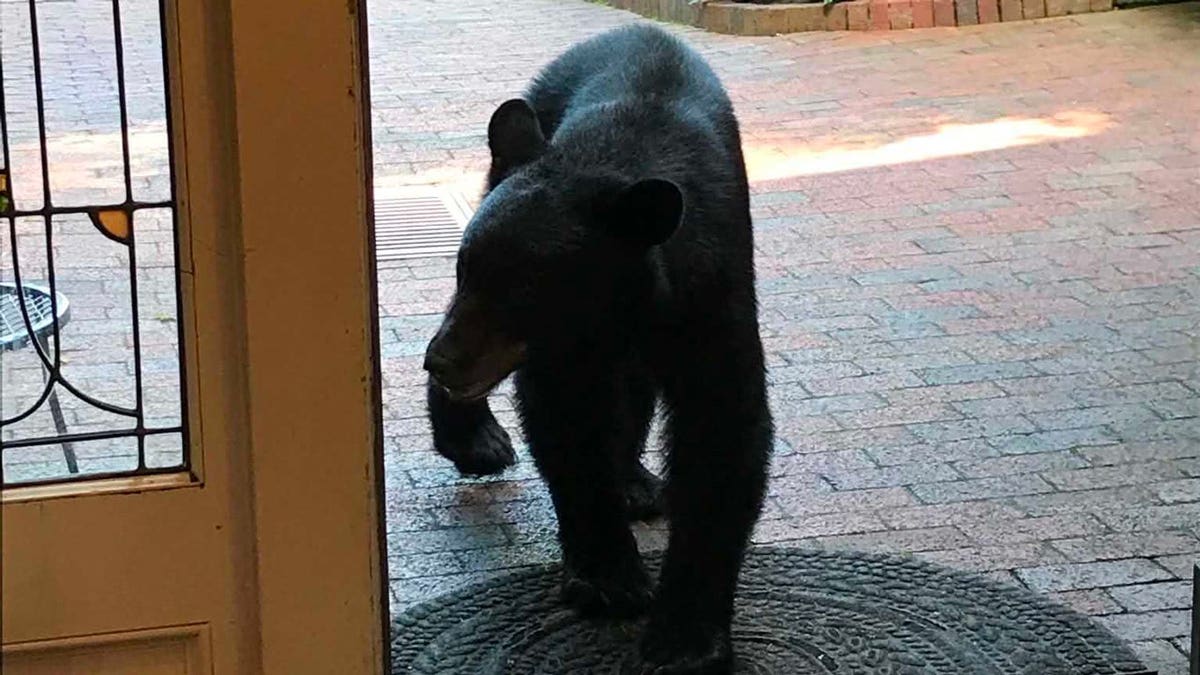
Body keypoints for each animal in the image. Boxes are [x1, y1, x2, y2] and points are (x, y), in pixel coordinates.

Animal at [423, 23, 772, 674]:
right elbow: (568, 426)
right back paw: (475, 439)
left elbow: (721, 432)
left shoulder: (712, 295)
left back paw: (633, 479)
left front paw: (684, 637)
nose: (444, 359)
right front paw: (609, 578)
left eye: (525, 288)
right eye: (467, 270)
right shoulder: (552, 351)